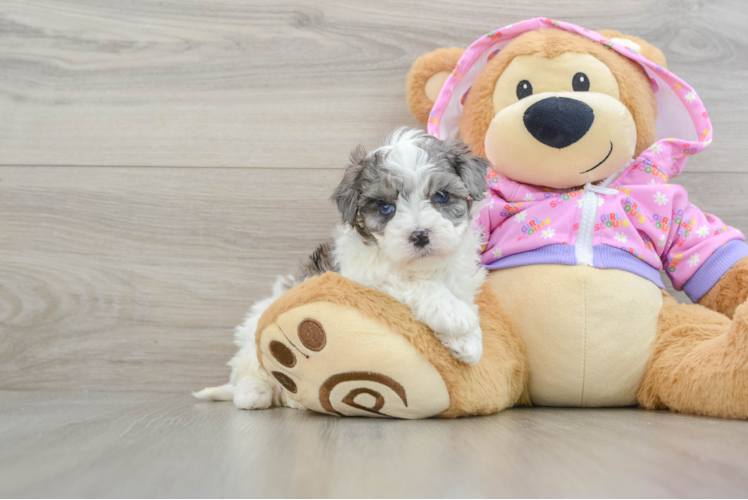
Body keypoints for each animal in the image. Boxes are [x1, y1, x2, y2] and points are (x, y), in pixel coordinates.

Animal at [193, 129, 490, 410]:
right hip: (255, 331)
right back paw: (254, 393)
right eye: (386, 208)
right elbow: (405, 281)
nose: (419, 235)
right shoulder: (363, 276)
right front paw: (455, 315)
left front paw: (468, 343)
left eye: (442, 196)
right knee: (251, 369)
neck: (426, 268)